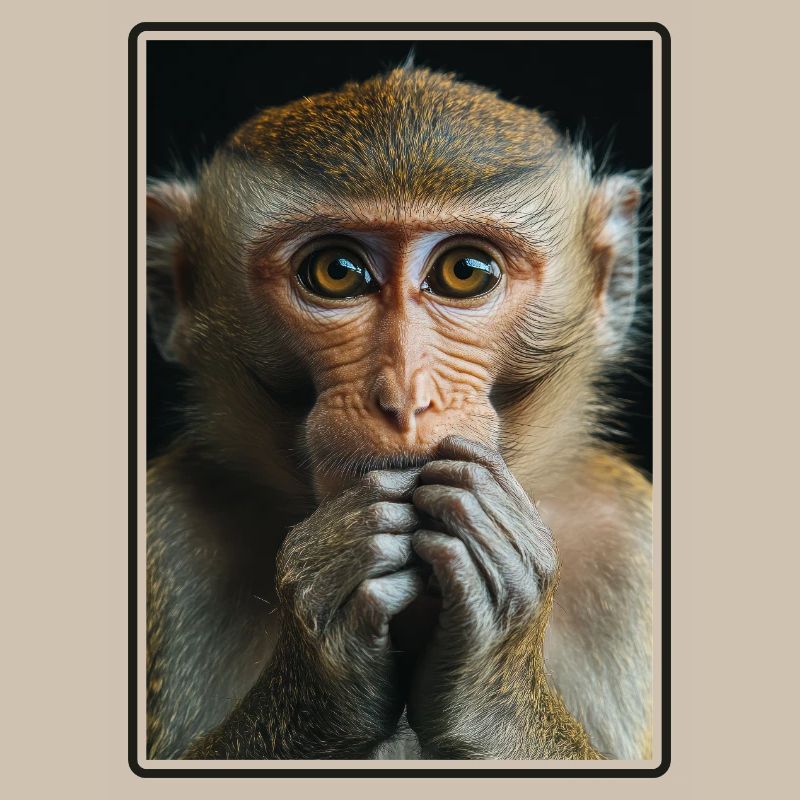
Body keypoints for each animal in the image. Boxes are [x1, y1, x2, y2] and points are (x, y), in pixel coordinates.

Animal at [145, 65, 652, 761]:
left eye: (465, 272)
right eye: (336, 272)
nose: (403, 396)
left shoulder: (631, 542)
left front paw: (494, 684)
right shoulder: (168, 527)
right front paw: (324, 657)